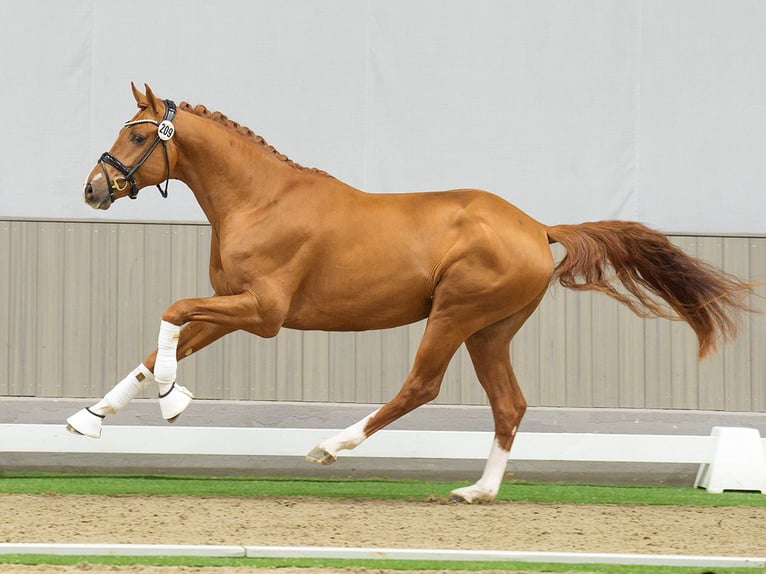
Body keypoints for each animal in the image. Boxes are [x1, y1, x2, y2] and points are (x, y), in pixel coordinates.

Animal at [69, 84, 752, 504]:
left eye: (138, 137)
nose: (93, 188)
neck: (260, 200)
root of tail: (538, 227)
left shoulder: (263, 313)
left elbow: (170, 314)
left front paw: (173, 401)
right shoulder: (234, 308)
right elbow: (160, 345)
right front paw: (91, 418)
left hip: (453, 316)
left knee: (420, 386)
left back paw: (329, 447)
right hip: (490, 331)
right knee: (509, 405)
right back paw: (478, 492)